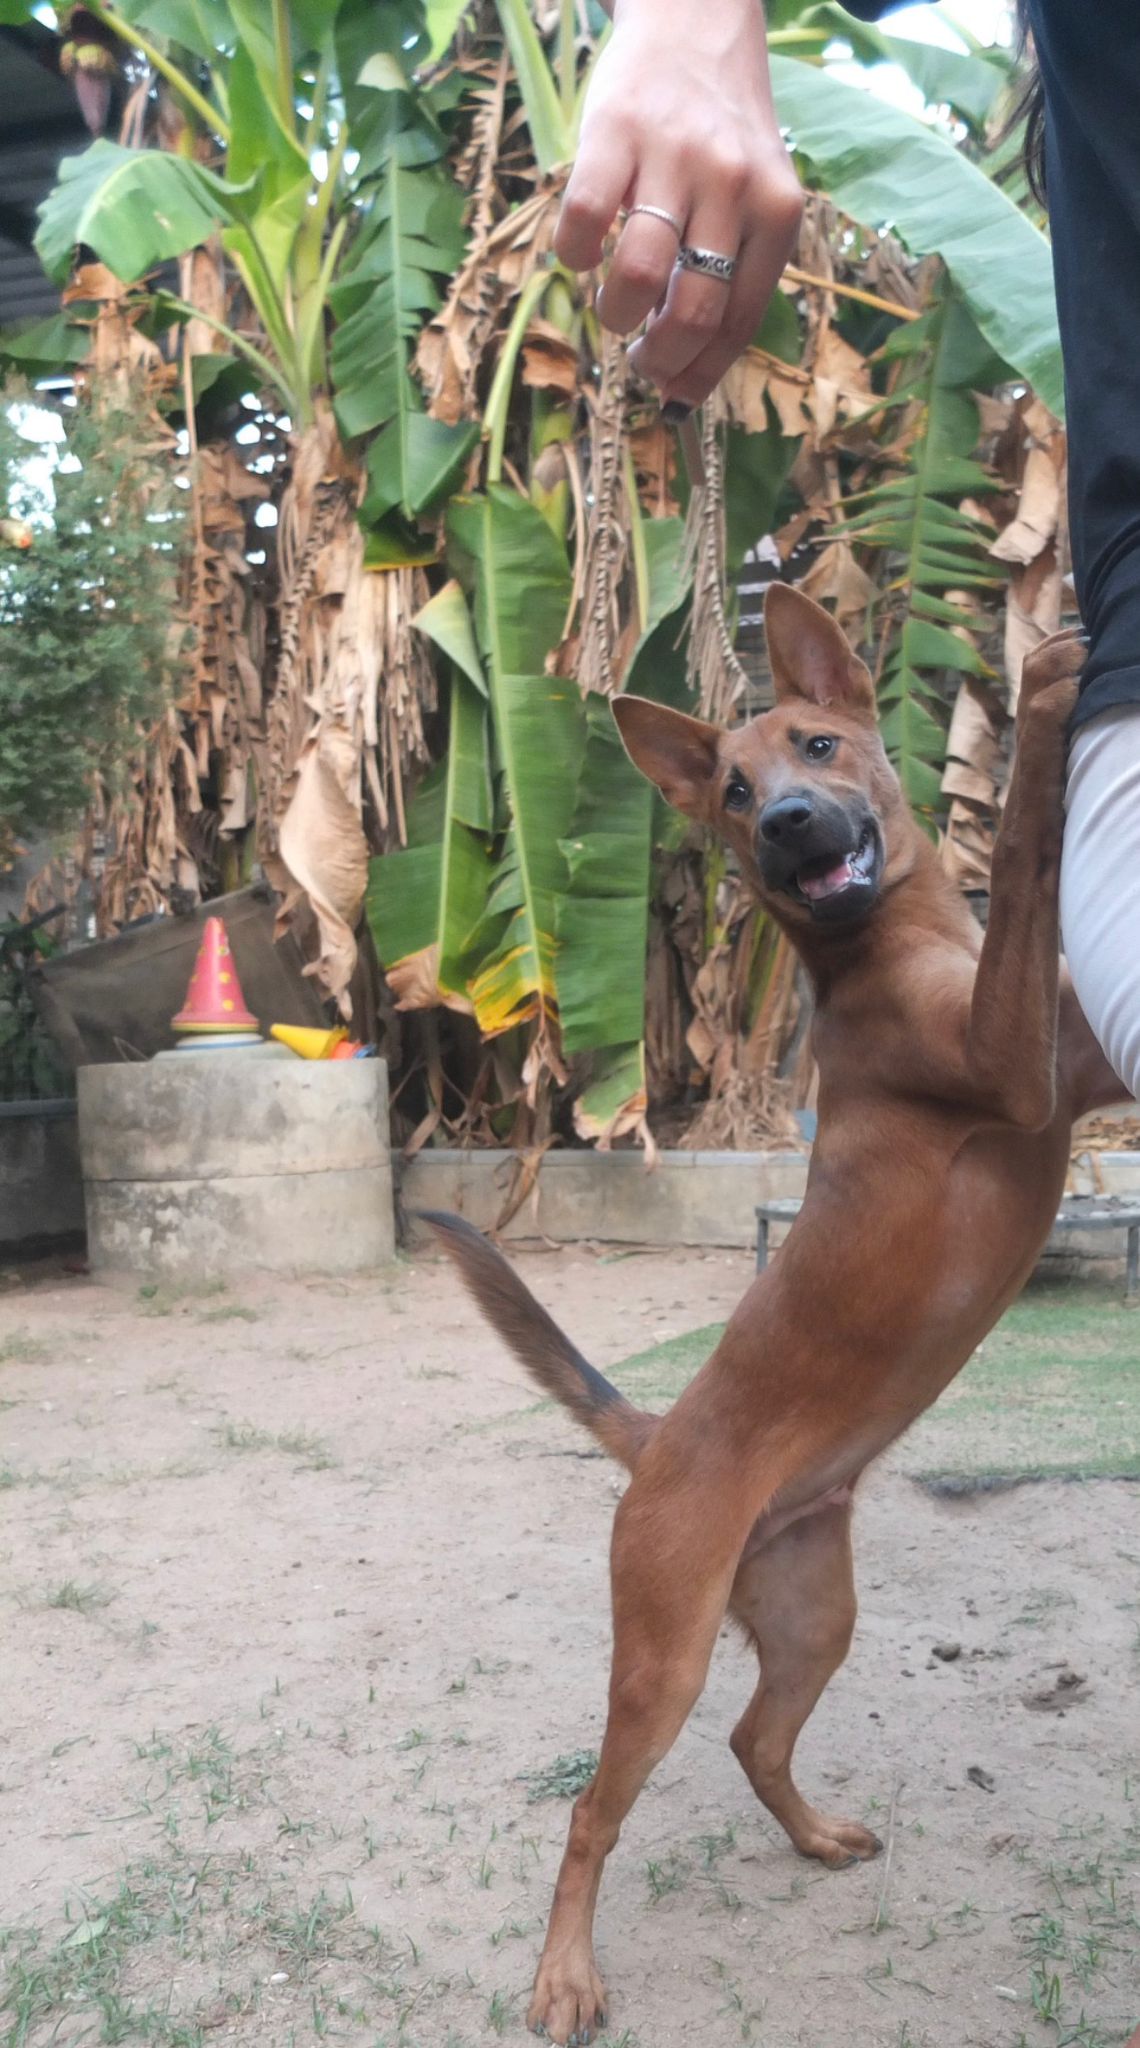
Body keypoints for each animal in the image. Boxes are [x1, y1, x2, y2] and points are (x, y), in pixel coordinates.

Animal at [426, 585, 1127, 2044]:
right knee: (591, 1813)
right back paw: (565, 1975)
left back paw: (811, 1835)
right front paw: (1043, 688)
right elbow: (1025, 854)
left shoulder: (1075, 1067)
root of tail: (653, 1436)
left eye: (815, 746)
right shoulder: (1012, 1060)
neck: (883, 950)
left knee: (756, 1739)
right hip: (664, 1658)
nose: (792, 824)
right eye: (736, 794)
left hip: (812, 1616)